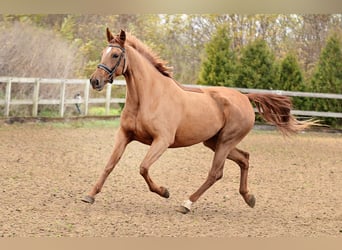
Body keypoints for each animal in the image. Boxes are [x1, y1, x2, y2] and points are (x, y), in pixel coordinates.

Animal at [82, 28, 312, 213]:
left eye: (115, 54)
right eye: (103, 53)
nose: (95, 81)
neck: (148, 97)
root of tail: (245, 97)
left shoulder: (162, 141)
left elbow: (143, 168)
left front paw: (164, 191)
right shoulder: (124, 135)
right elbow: (110, 165)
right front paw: (90, 195)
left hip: (226, 141)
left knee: (215, 173)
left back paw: (186, 204)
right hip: (214, 142)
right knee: (244, 158)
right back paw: (249, 198)